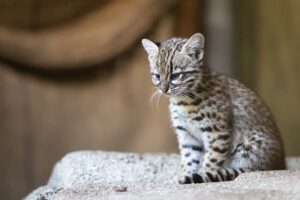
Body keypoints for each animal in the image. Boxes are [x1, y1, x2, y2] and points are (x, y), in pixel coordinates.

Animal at [141, 33, 286, 184]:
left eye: (175, 75)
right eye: (157, 76)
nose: (163, 90)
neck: (183, 101)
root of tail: (281, 164)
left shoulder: (217, 132)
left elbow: (212, 159)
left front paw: (203, 175)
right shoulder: (186, 133)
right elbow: (189, 158)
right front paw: (188, 174)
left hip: (250, 148)